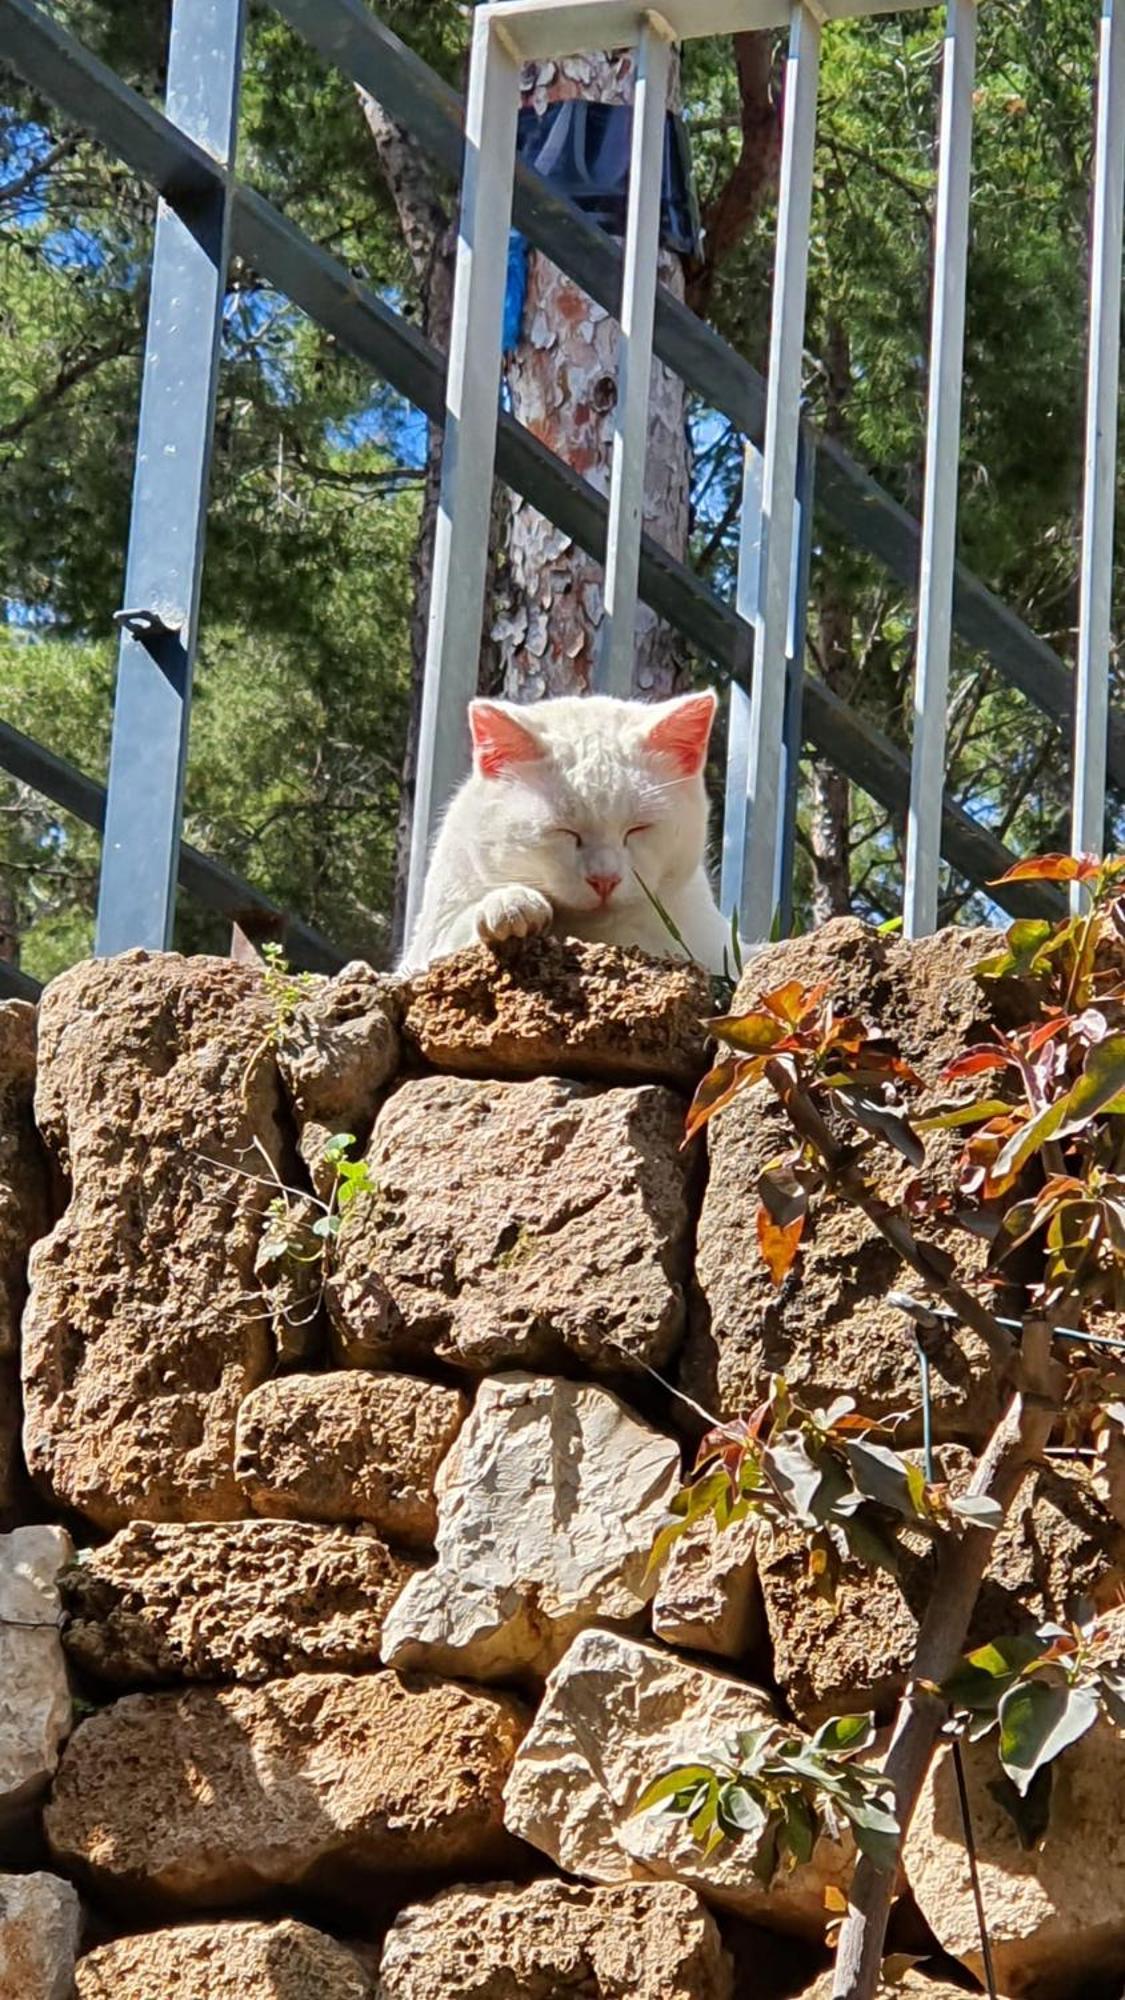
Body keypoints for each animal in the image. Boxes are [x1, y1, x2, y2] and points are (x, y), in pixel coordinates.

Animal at [398, 688, 732, 976]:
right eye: (565, 831)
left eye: (638, 828)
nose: (604, 879)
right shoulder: (423, 947)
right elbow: (455, 931)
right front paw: (510, 905)